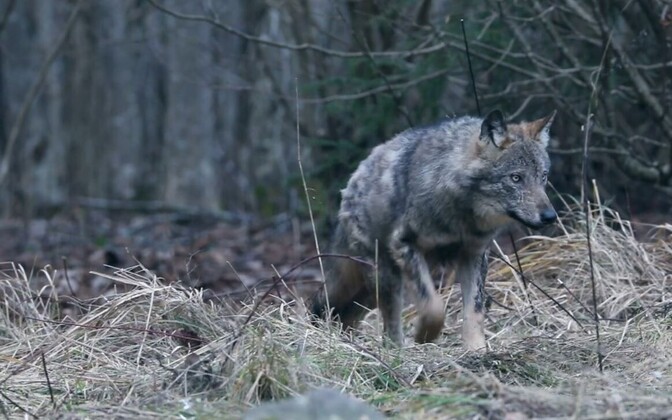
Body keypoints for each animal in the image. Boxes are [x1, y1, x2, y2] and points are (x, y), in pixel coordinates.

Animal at [311, 109, 558, 351]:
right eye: (516, 178)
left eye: (543, 176)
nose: (550, 216)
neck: (462, 215)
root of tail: (352, 182)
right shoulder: (404, 245)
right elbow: (434, 308)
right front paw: (424, 336)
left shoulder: (474, 254)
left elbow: (474, 311)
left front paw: (477, 350)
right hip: (387, 278)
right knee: (389, 328)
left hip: (374, 290)